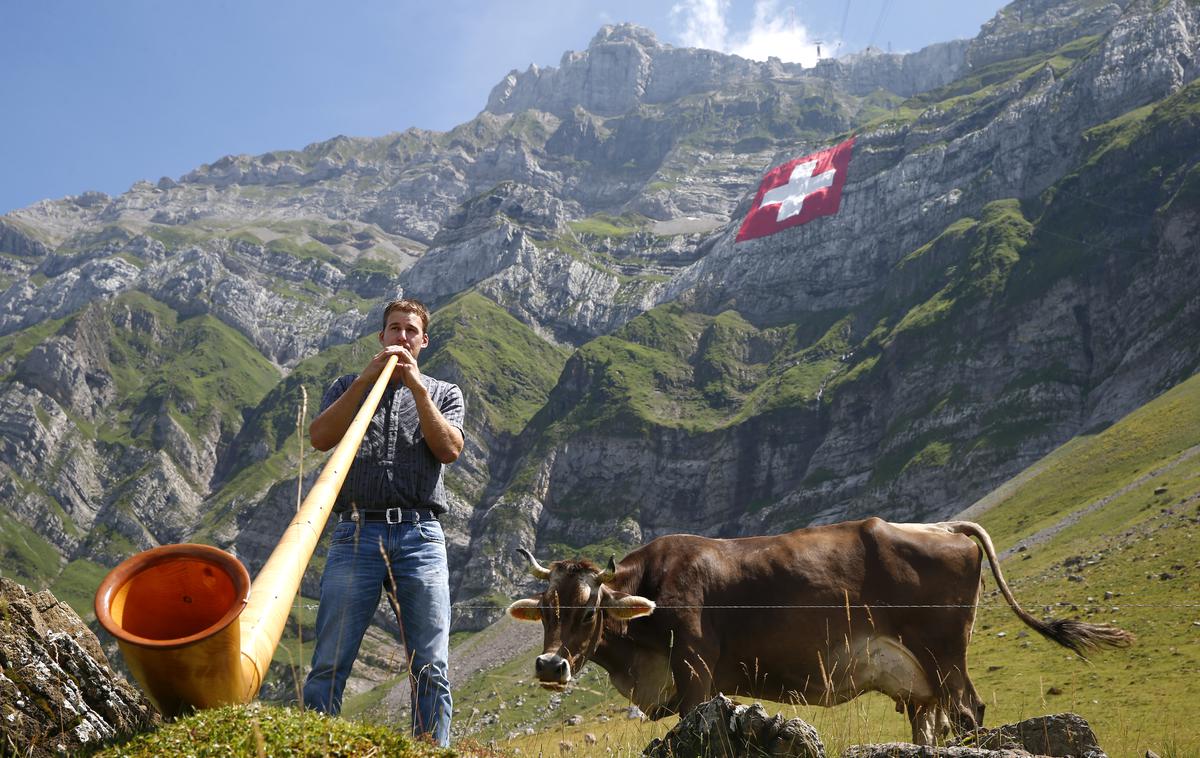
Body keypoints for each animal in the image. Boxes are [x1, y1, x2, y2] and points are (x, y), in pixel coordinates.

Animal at [508, 518, 1132, 743]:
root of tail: (944, 526)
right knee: (932, 724)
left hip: (946, 656)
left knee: (969, 712)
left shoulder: (696, 672)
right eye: (546, 609)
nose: (550, 666)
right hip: (920, 680)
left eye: (589, 611)